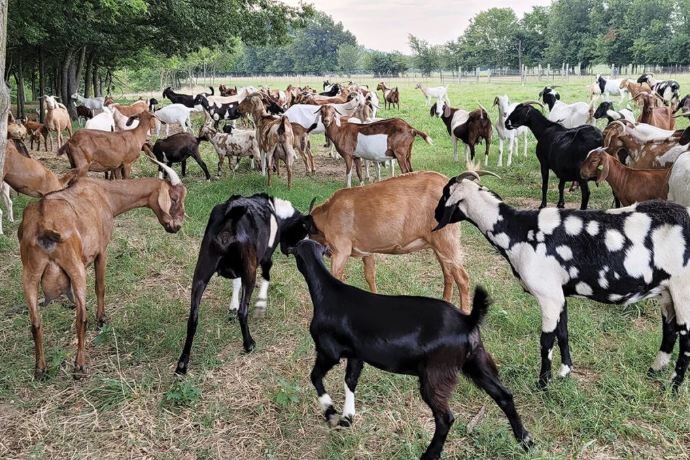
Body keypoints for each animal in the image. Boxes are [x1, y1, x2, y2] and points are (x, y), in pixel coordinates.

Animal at [19, 159, 186, 379]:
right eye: (174, 198)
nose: (177, 226)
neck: (105, 195)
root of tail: (43, 223)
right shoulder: (102, 251)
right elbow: (100, 286)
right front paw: (102, 319)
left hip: (30, 273)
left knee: (35, 322)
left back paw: (40, 368)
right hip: (75, 269)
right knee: (81, 317)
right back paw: (79, 366)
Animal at [175, 194, 304, 369]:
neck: (275, 211)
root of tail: (231, 219)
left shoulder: (237, 271)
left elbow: (235, 283)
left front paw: (232, 307)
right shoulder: (265, 260)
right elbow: (266, 279)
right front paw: (261, 305)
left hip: (201, 273)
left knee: (193, 318)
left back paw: (183, 363)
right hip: (250, 272)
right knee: (244, 311)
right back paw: (249, 344)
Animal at [280, 171, 475, 311]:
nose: (286, 250)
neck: (329, 214)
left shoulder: (341, 251)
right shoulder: (367, 251)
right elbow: (370, 275)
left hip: (446, 242)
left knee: (463, 278)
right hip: (438, 245)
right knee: (448, 274)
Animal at [287, 239, 532, 459]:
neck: (328, 292)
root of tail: (468, 320)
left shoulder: (328, 351)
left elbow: (315, 376)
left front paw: (329, 411)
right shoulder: (357, 355)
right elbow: (350, 381)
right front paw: (347, 417)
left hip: (436, 373)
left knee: (445, 418)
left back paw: (430, 454)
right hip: (476, 362)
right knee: (504, 395)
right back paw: (525, 441)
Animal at [434, 170, 690, 391]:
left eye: (445, 193)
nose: (435, 215)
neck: (518, 231)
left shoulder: (548, 296)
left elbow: (546, 341)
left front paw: (543, 383)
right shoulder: (559, 295)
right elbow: (563, 333)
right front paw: (564, 372)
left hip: (682, 290)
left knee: (686, 339)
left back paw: (673, 386)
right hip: (666, 291)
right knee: (670, 330)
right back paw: (655, 370)